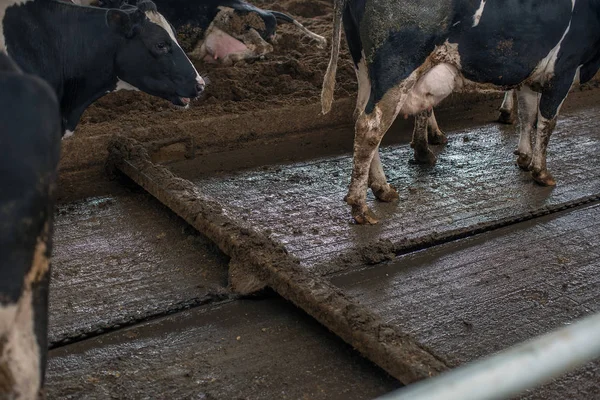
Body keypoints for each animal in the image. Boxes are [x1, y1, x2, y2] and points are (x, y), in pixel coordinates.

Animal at [322, 0, 600, 225]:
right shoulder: (563, 69)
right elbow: (546, 123)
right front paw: (541, 172)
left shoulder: (531, 73)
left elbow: (528, 116)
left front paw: (524, 156)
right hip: (398, 69)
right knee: (370, 128)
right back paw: (361, 207)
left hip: (365, 70)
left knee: (362, 118)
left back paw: (382, 188)